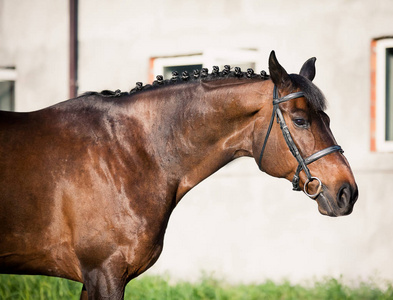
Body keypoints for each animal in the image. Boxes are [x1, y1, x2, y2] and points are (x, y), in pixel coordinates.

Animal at [0, 51, 356, 298]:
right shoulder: (103, 274)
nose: (347, 192)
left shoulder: (93, 279)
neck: (127, 152)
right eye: (300, 120)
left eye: (326, 118)